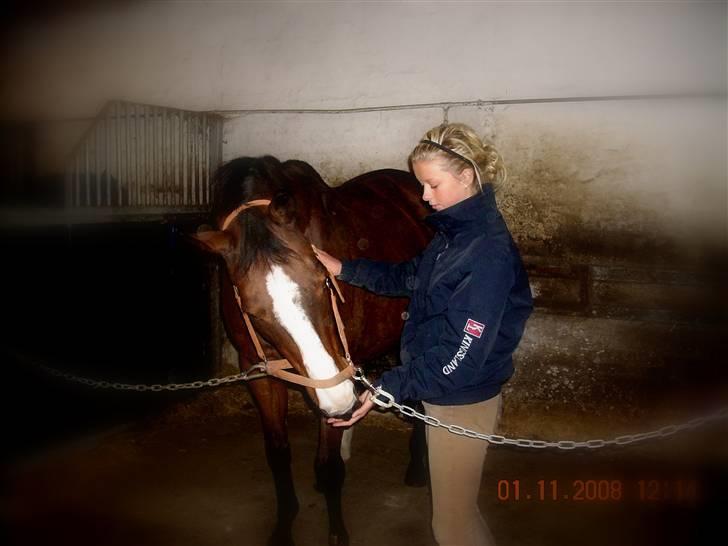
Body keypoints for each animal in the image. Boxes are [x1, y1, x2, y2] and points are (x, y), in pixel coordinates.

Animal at [191, 155, 436, 544]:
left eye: (324, 281)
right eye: (253, 313)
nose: (338, 399)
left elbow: (329, 467)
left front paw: (336, 533)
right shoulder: (260, 373)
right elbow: (278, 453)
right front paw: (284, 526)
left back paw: (416, 468)